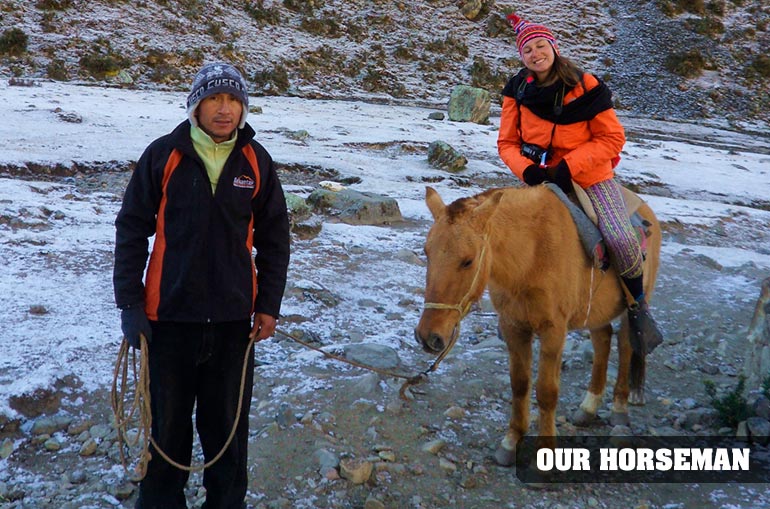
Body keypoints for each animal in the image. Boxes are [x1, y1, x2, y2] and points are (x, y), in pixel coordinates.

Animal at [414, 186, 660, 464]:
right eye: (427, 252)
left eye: (467, 261)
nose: (428, 336)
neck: (530, 256)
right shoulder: (514, 328)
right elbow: (520, 385)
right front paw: (511, 443)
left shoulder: (553, 331)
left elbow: (546, 392)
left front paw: (547, 457)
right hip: (597, 311)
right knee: (602, 341)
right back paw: (588, 407)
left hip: (632, 307)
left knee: (626, 345)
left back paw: (619, 408)